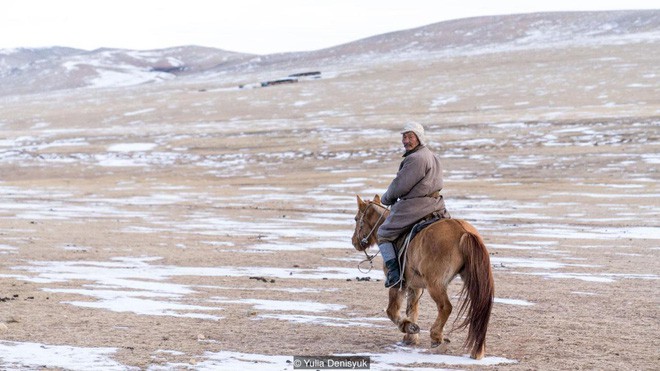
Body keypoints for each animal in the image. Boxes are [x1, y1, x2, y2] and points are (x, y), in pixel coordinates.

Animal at [350, 195, 496, 360]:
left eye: (356, 219)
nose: (354, 242)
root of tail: (463, 231)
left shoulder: (397, 285)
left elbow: (392, 310)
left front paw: (409, 327)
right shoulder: (414, 287)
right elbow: (412, 309)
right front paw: (410, 337)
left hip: (435, 285)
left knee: (445, 307)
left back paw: (437, 337)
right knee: (479, 309)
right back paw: (477, 351)